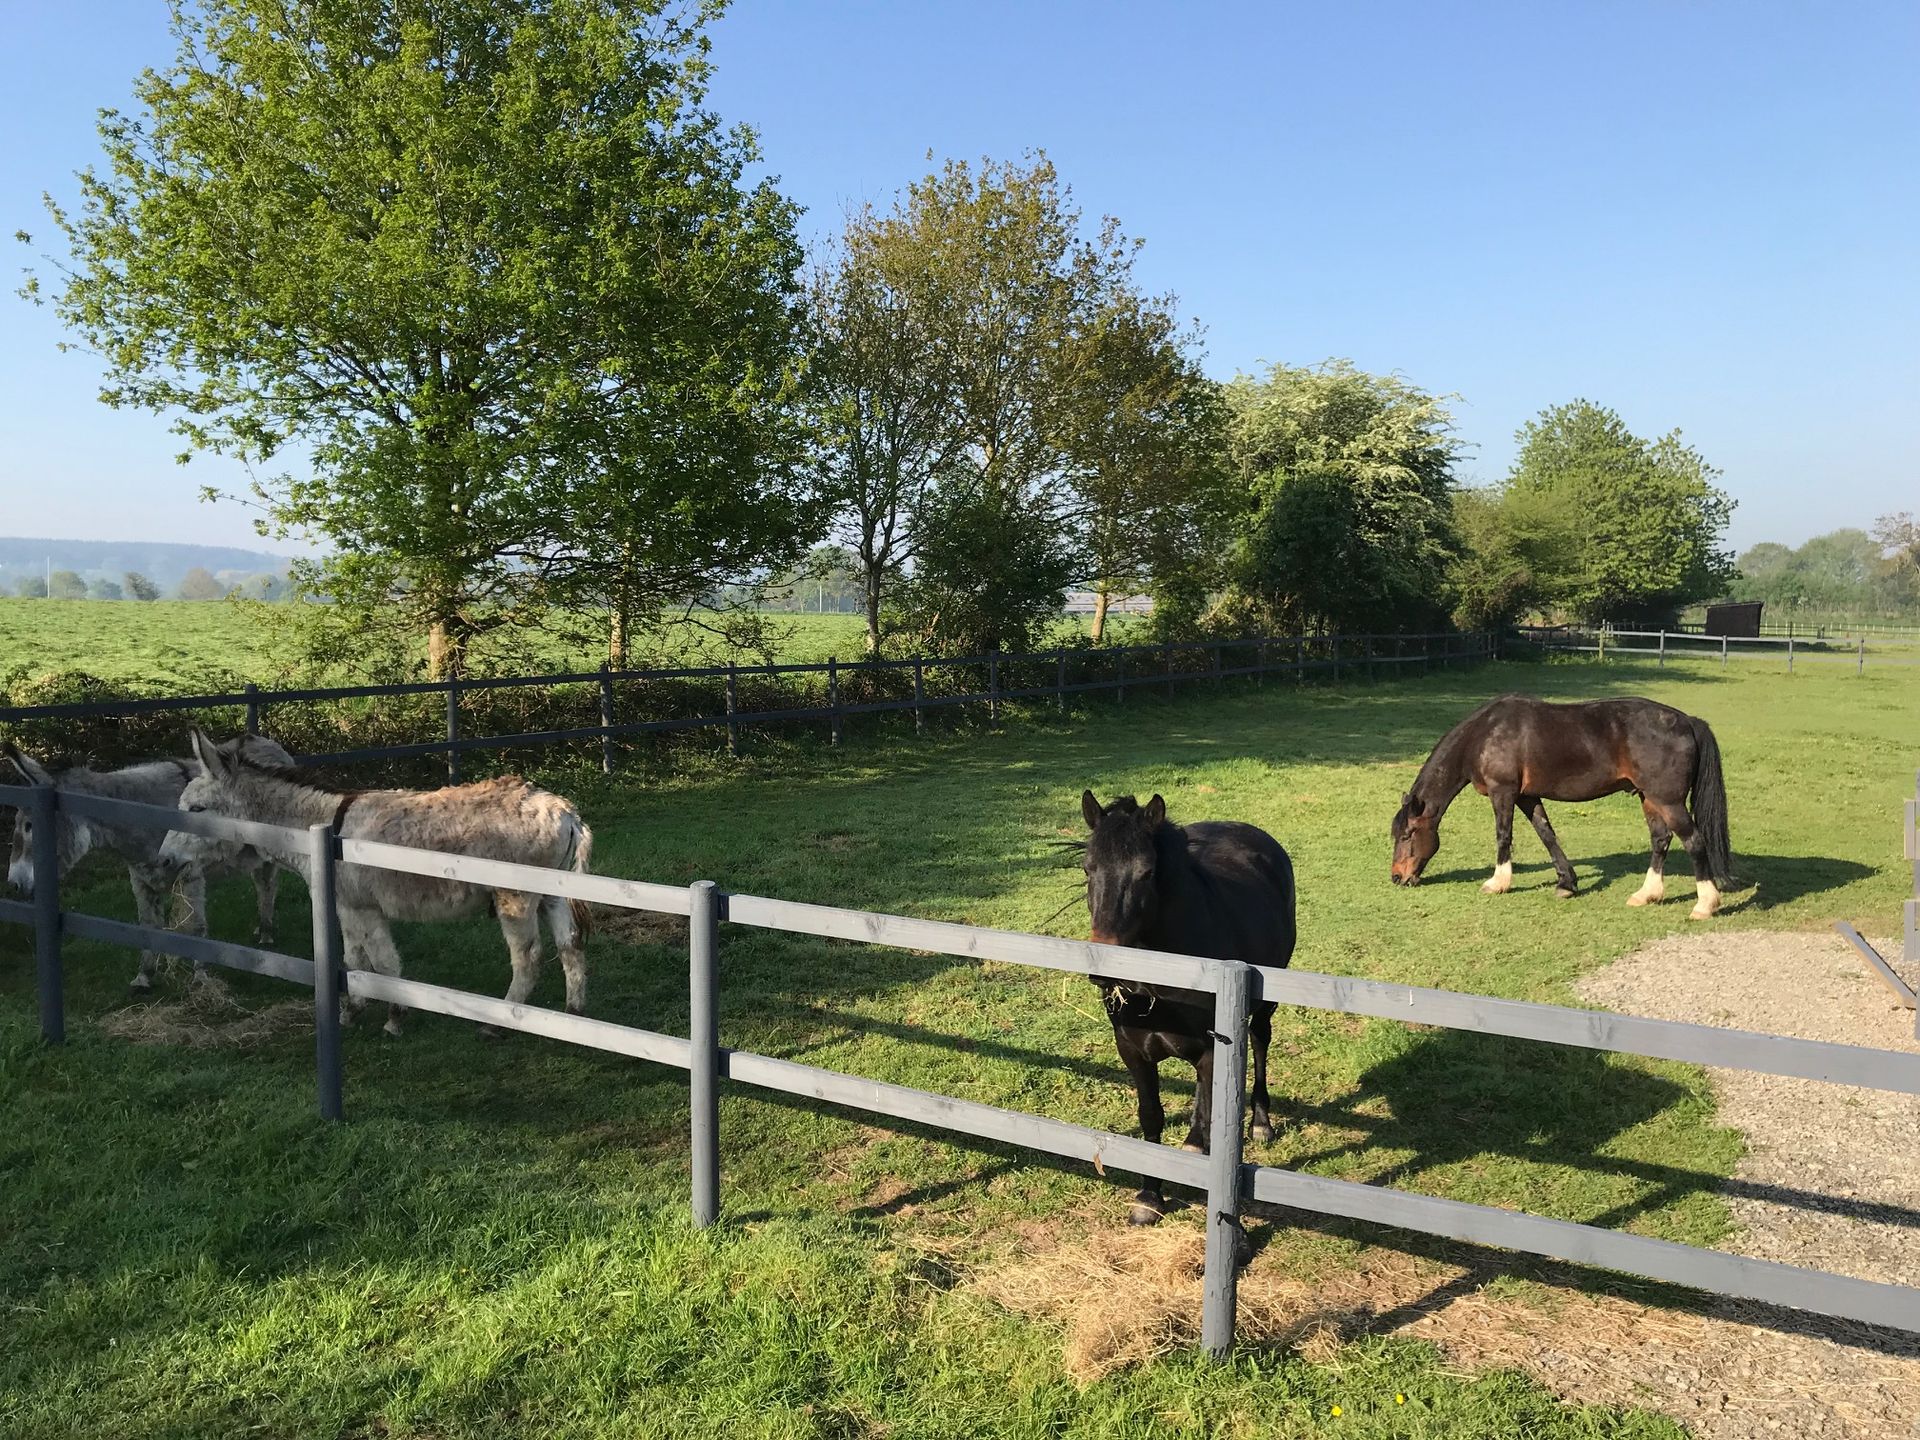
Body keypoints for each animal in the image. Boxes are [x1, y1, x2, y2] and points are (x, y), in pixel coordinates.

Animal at [1075, 791, 1297, 1228]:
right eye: (1088, 868)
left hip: (1265, 1002)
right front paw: (1149, 1197)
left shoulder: (1214, 1046)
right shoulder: (1132, 1051)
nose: (1104, 969)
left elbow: (1212, 1117)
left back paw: (1261, 1124)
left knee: (1260, 1042)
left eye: (1146, 873)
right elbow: (1151, 1116)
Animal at [1390, 695, 1735, 917]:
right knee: (1660, 840)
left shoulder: (1503, 793)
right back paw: (1647, 894)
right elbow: (1547, 834)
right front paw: (1567, 883)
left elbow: (1503, 836)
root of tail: (1688, 721)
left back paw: (1704, 904)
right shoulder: (1527, 796)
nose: (1397, 877)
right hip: (1650, 798)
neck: (1485, 735)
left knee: (1694, 841)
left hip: (1669, 801)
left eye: (1407, 835)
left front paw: (1497, 883)